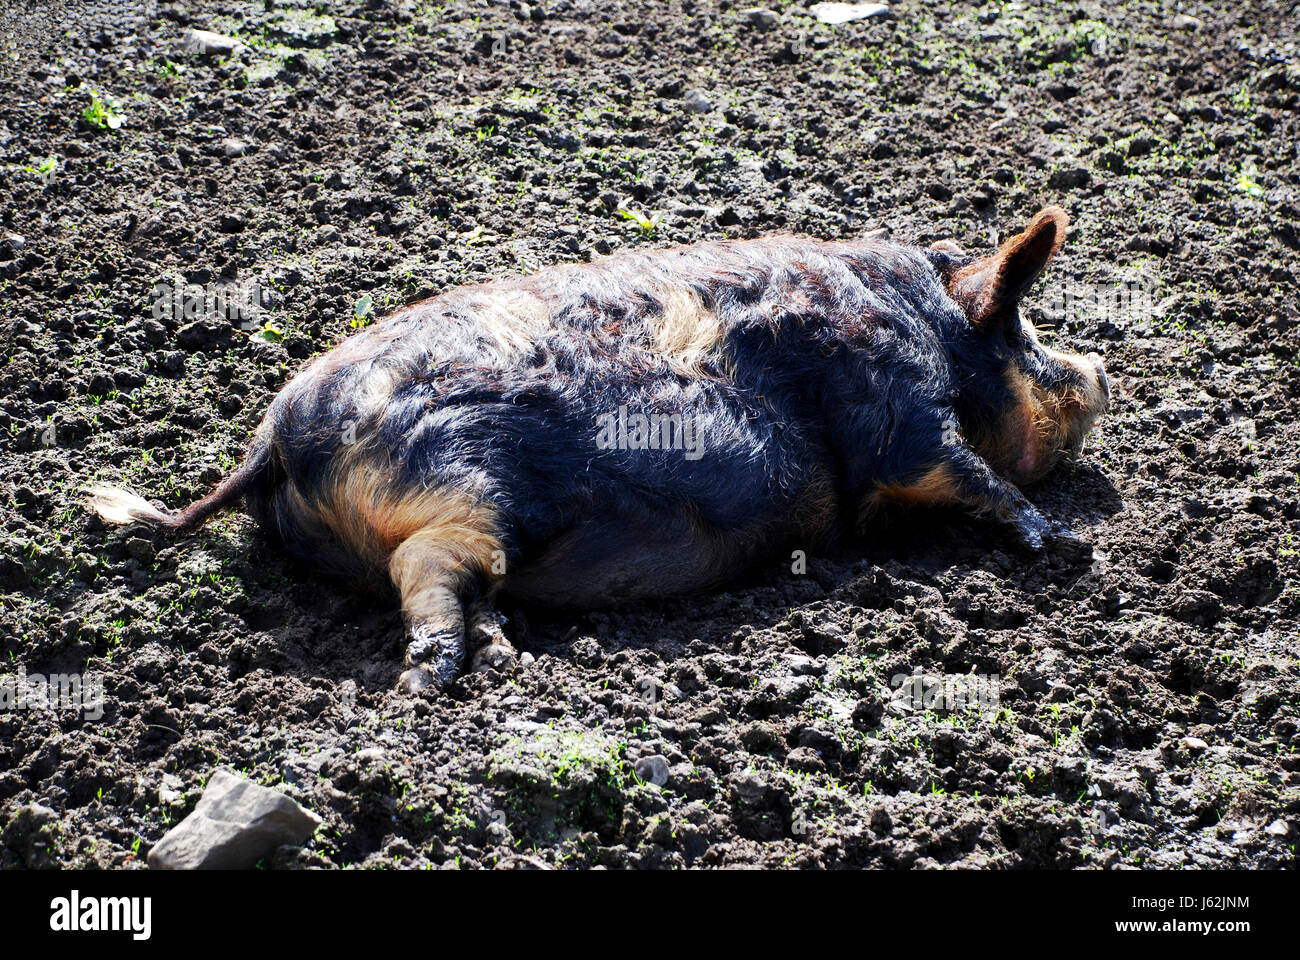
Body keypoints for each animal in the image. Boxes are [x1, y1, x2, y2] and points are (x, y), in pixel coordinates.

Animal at [89, 205, 1107, 692]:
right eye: (1026, 333)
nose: (1101, 371)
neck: (931, 328)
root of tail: (274, 443)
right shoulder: (895, 406)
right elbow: (966, 473)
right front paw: (1066, 546)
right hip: (465, 482)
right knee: (428, 567)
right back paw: (437, 681)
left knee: (460, 583)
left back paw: (505, 655)